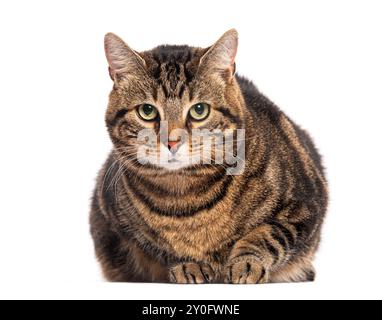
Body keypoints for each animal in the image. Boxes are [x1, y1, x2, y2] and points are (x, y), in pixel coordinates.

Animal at [89, 29, 328, 282]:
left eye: (199, 110)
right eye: (147, 111)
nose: (172, 142)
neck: (187, 197)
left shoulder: (305, 206)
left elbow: (267, 234)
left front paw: (246, 262)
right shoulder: (113, 216)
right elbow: (161, 246)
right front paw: (188, 263)